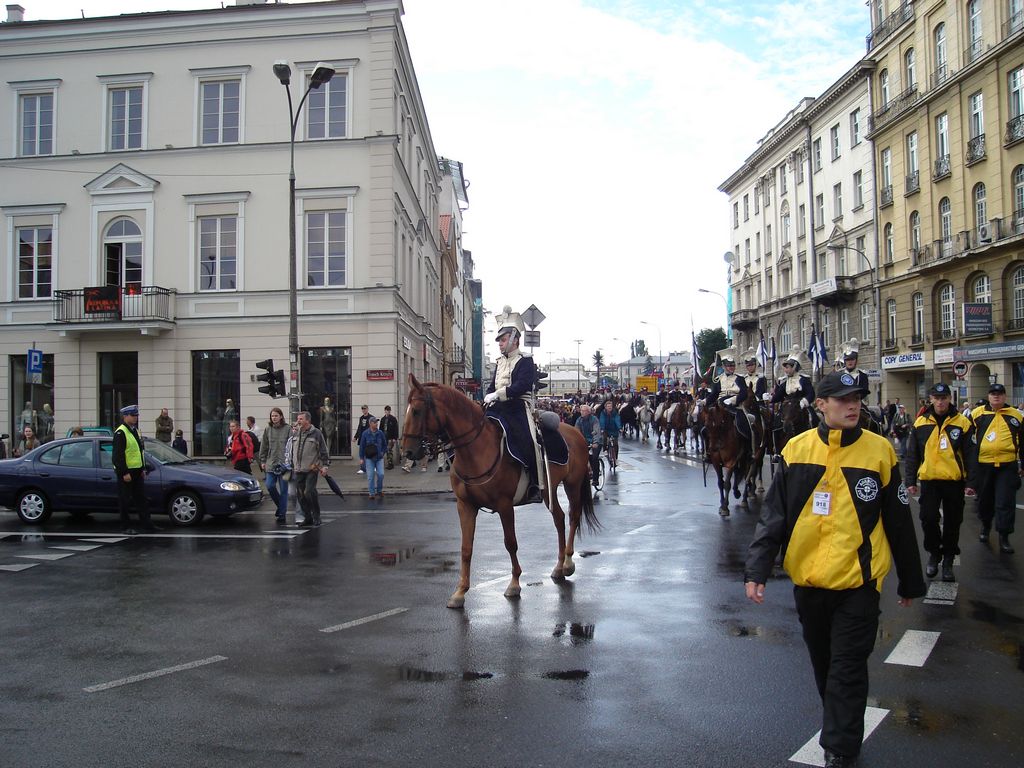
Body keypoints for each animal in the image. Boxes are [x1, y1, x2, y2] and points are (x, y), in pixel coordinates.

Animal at [400, 375, 600, 609]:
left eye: (416, 411)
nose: (408, 452)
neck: (477, 449)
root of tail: (576, 431)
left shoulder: (505, 505)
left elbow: (510, 543)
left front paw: (514, 583)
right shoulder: (465, 505)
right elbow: (466, 548)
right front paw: (460, 592)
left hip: (572, 484)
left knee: (573, 516)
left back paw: (568, 562)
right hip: (549, 490)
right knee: (559, 518)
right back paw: (559, 567)